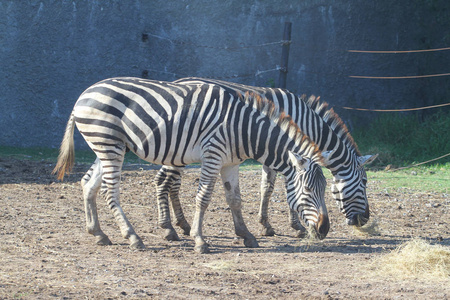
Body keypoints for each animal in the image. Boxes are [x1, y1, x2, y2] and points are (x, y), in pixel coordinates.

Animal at [52, 76, 328, 252]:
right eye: (308, 190)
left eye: (325, 189)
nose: (325, 229)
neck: (243, 130)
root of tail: (84, 95)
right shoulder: (213, 155)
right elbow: (203, 198)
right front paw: (199, 240)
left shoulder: (231, 163)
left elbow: (235, 200)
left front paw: (246, 235)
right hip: (109, 144)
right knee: (110, 192)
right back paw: (132, 237)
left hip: (107, 146)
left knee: (88, 184)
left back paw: (98, 233)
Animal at [155, 77, 376, 241]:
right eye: (364, 182)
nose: (365, 219)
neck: (307, 122)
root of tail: (179, 80)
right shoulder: (287, 150)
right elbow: (285, 188)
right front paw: (296, 227)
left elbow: (266, 188)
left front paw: (266, 225)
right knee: (164, 180)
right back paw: (169, 228)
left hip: (179, 152)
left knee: (173, 183)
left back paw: (183, 224)